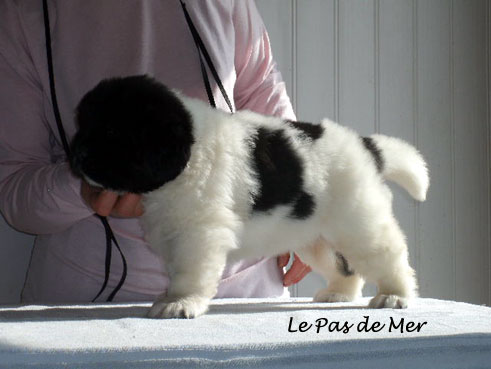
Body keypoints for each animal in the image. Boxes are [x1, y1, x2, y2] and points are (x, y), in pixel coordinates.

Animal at [70, 74, 430, 316]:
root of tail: (366, 146)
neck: (189, 154)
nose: (76, 154)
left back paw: (395, 295)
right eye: (82, 126)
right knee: (343, 265)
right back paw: (340, 293)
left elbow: (190, 271)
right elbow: (176, 270)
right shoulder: (174, 231)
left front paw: (181, 302)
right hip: (316, 236)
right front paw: (171, 297)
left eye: (112, 131)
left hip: (357, 221)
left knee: (387, 253)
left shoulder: (201, 233)